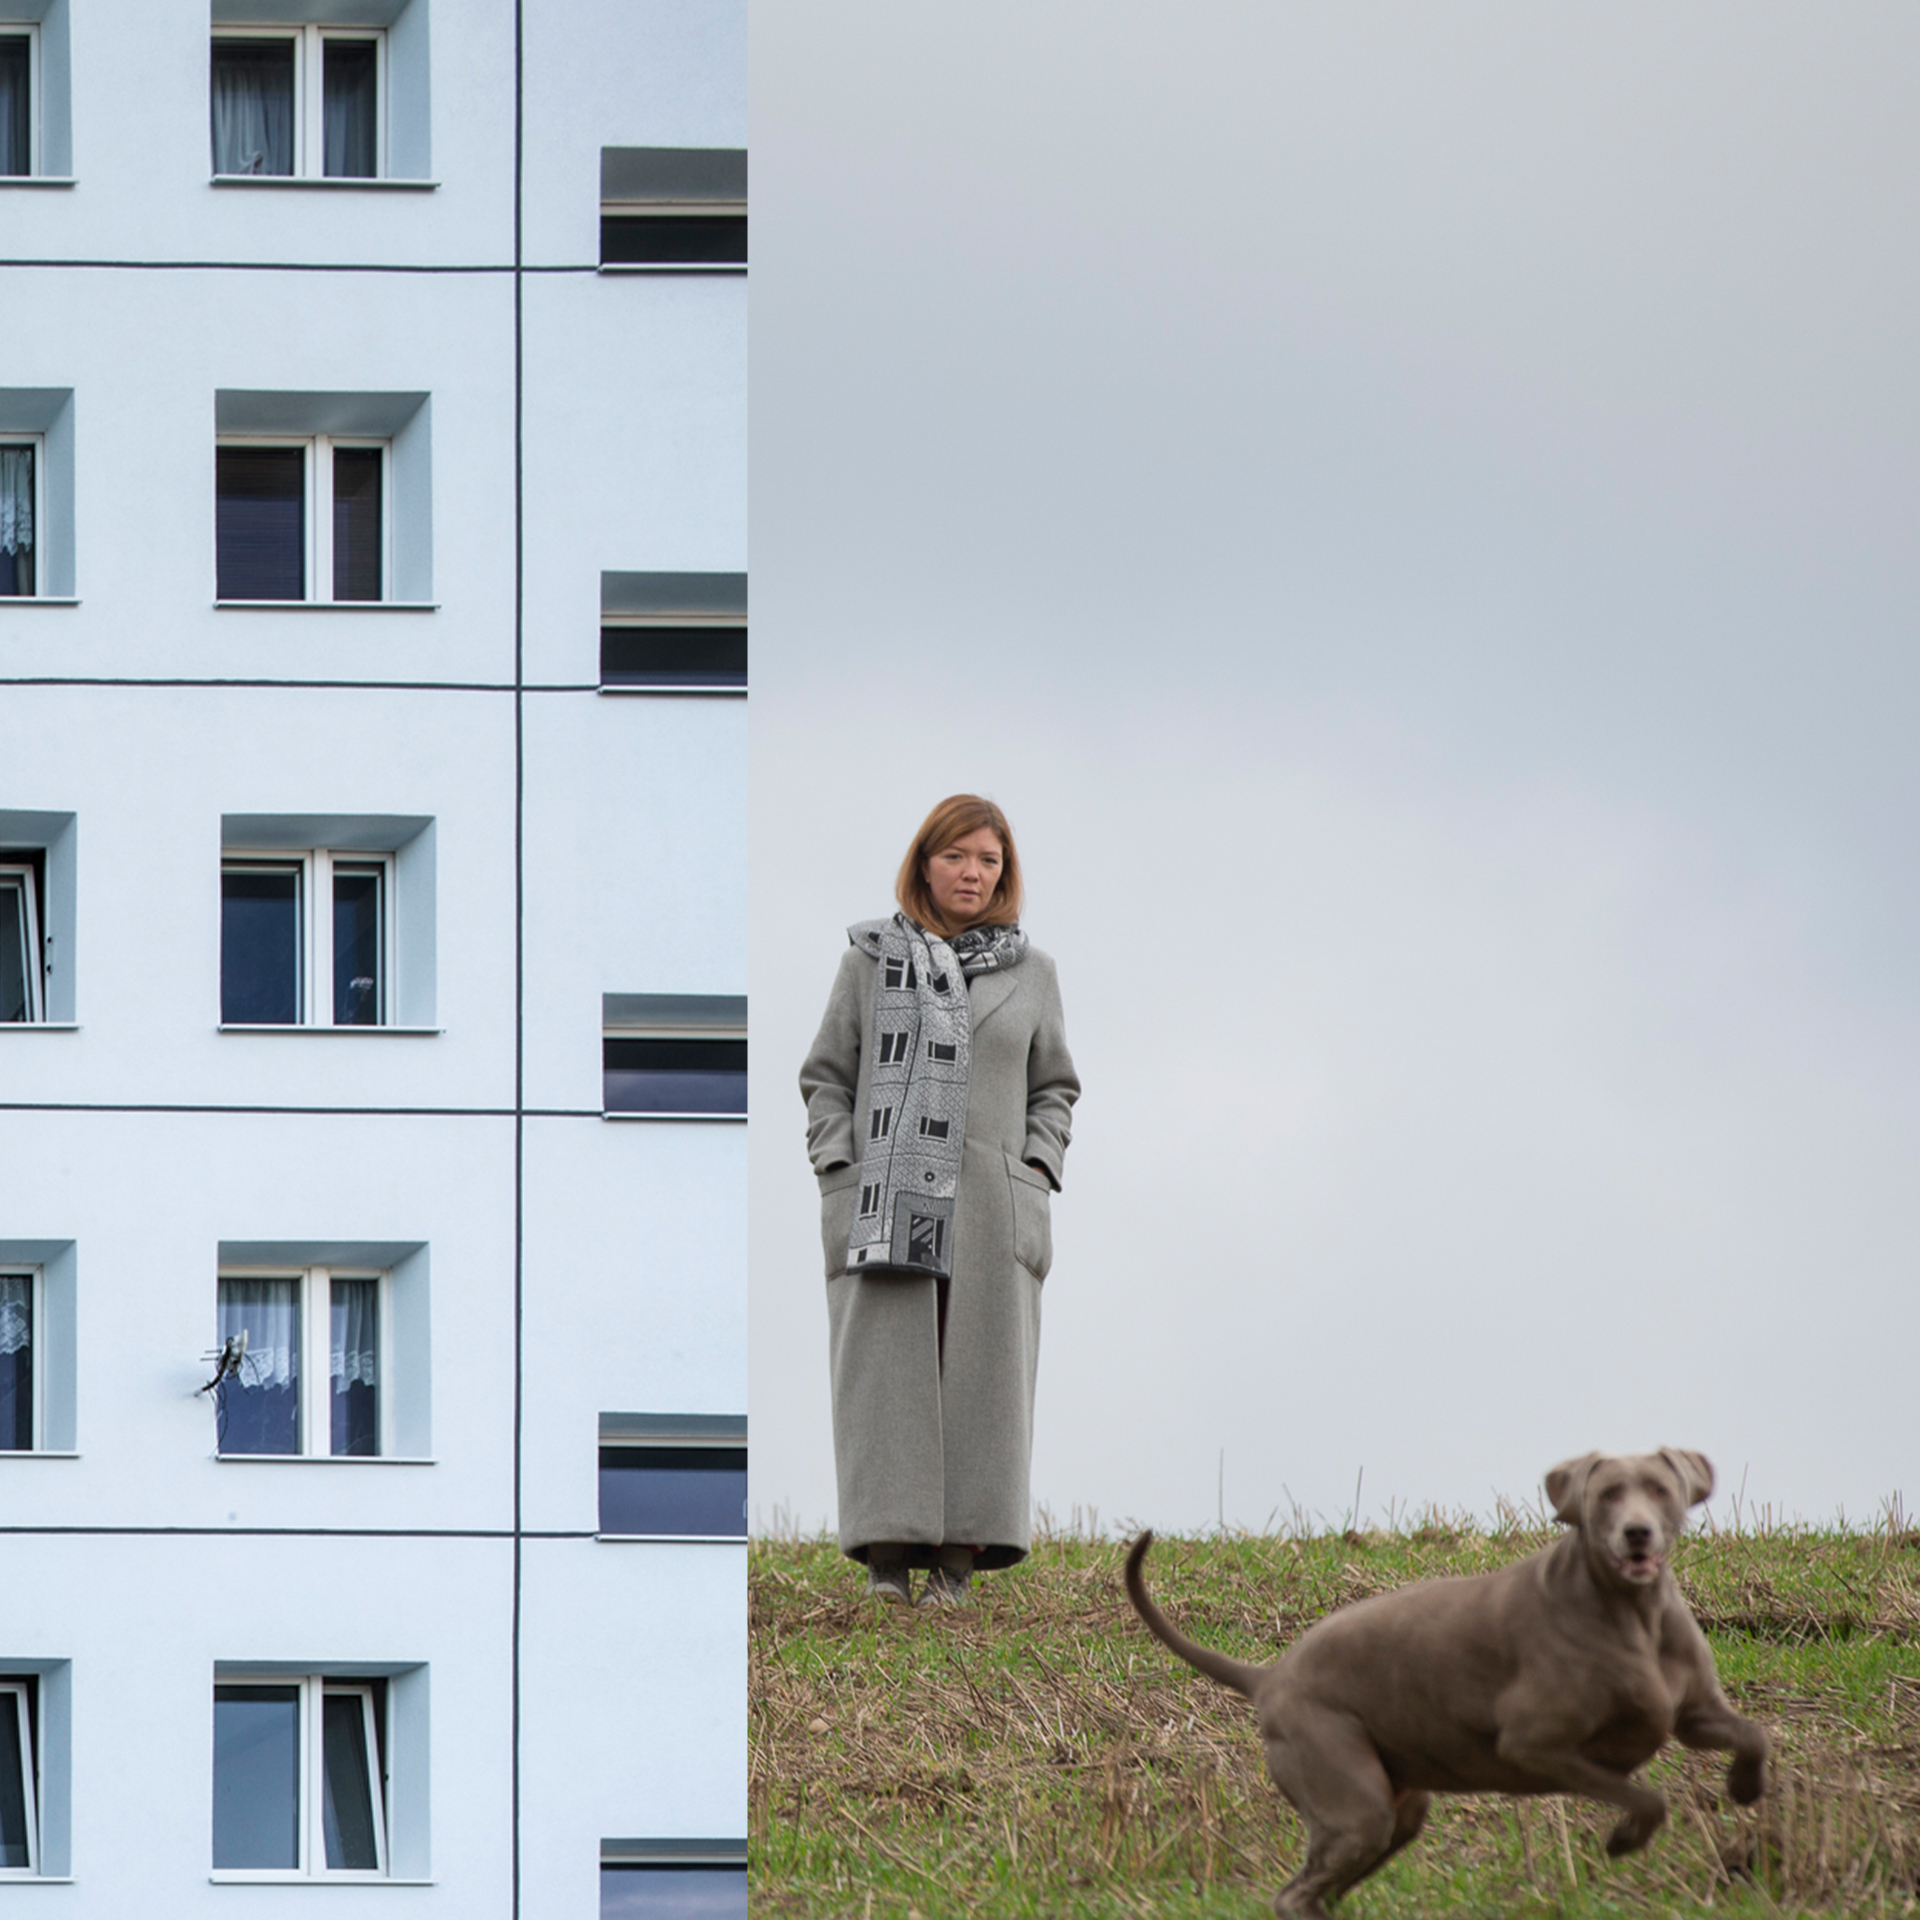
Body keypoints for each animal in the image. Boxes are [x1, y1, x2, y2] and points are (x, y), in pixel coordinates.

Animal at [1121, 1443, 1766, 1912]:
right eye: (1607, 1494)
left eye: (1659, 1489)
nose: (1637, 1532)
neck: (1634, 1614)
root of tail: (1271, 1675)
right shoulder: (1535, 1746)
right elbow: (1648, 1797)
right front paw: (1624, 1839)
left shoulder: (1694, 1712)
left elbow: (1752, 1735)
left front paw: (1745, 1790)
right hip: (1353, 1801)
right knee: (1293, 1895)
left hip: (1396, 1808)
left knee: (1324, 1888)